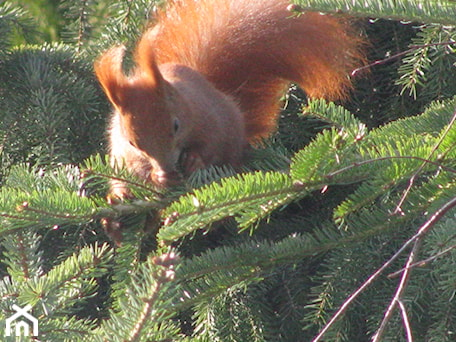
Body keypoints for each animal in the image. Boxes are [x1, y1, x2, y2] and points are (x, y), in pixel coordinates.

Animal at [94, 0, 366, 196]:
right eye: (133, 142)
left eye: (176, 125)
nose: (167, 167)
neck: (185, 101)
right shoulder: (122, 148)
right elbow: (136, 168)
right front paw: (158, 176)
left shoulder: (211, 119)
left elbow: (211, 145)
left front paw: (194, 160)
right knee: (122, 185)